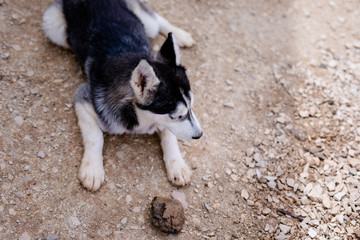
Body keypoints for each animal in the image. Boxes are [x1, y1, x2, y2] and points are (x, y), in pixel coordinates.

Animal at [42, 0, 202, 191]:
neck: (140, 116)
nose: (200, 135)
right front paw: (93, 169)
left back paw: (179, 34)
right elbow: (95, 136)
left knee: (155, 19)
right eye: (176, 116)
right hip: (53, 25)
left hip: (146, 24)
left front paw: (177, 165)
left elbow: (169, 136)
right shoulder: (82, 97)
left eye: (191, 108)